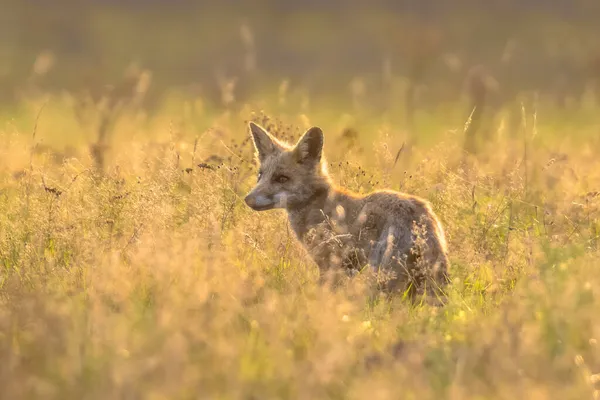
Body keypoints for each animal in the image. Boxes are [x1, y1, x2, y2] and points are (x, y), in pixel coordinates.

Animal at [245, 122, 450, 304]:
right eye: (260, 175)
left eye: (282, 178)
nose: (247, 199)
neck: (318, 204)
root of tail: (421, 218)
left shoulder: (332, 265)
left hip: (381, 274)